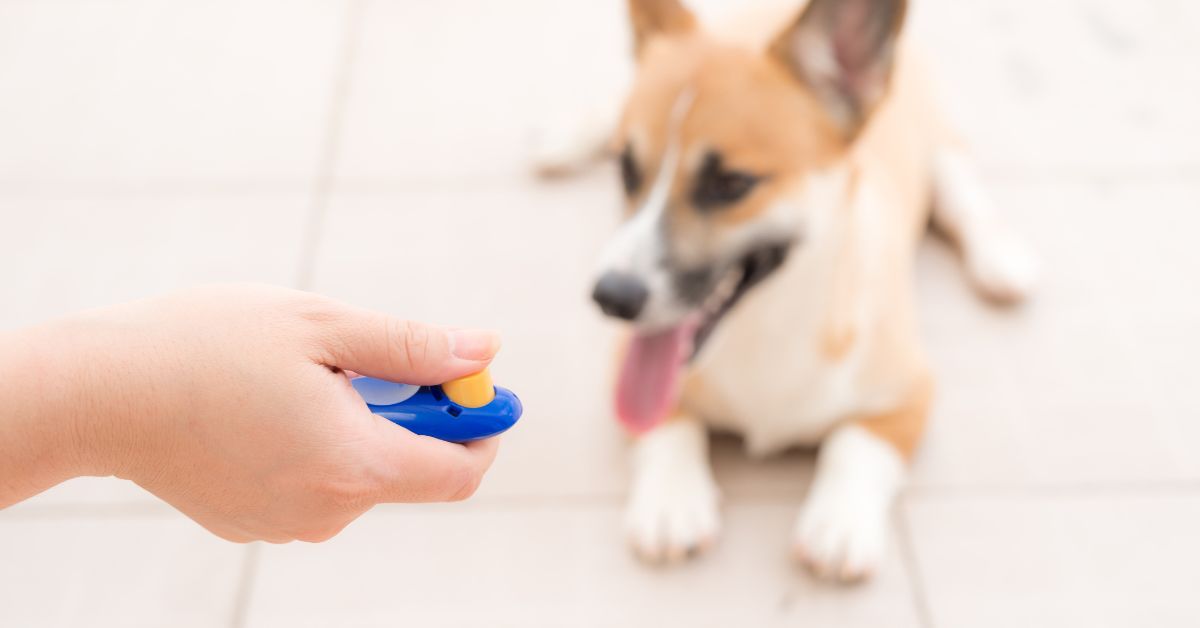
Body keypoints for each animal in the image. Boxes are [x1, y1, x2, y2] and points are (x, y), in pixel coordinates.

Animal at [535, 0, 1041, 583]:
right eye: (626, 170)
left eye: (730, 184)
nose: (611, 298)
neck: (765, 326)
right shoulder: (626, 364)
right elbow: (668, 425)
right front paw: (670, 501)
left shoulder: (910, 392)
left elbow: (856, 444)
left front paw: (840, 522)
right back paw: (564, 138)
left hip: (941, 145)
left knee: (962, 190)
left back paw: (1001, 258)